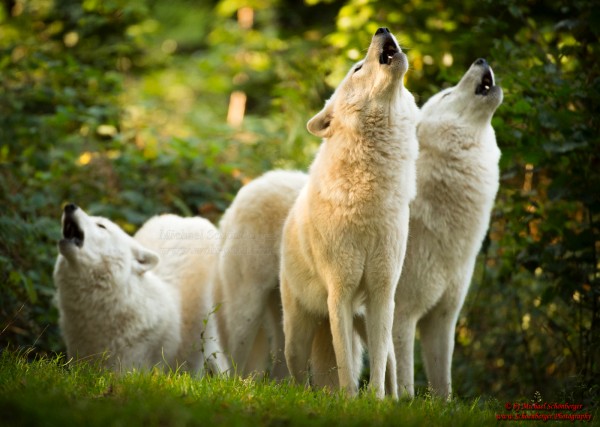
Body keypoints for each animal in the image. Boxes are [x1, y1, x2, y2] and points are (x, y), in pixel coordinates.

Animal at [280, 28, 418, 400]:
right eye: (357, 68)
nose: (382, 29)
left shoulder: (383, 292)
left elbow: (379, 368)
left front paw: (377, 403)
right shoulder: (339, 292)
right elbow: (344, 366)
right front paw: (349, 402)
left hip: (368, 318)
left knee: (391, 365)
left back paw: (398, 401)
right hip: (297, 333)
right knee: (297, 373)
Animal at [394, 58, 502, 400]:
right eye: (446, 95)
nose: (481, 60)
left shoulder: (443, 319)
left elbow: (443, 385)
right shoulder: (401, 315)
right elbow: (404, 380)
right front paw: (401, 405)